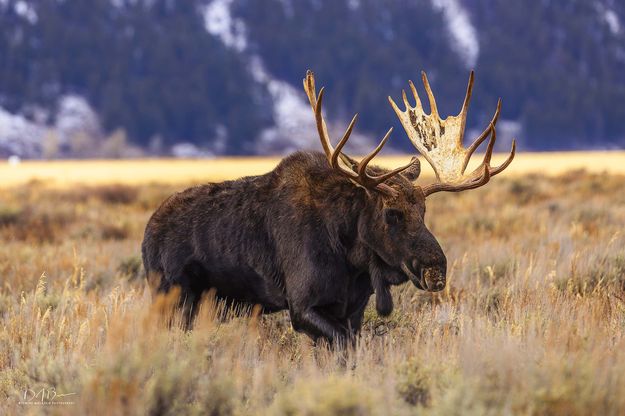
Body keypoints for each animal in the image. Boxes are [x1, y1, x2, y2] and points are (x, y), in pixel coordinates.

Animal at [143, 70, 516, 344]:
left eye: (423, 212)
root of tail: (147, 235)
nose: (435, 270)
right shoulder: (303, 306)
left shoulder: (352, 309)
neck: (353, 258)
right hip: (172, 297)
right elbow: (344, 347)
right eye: (391, 214)